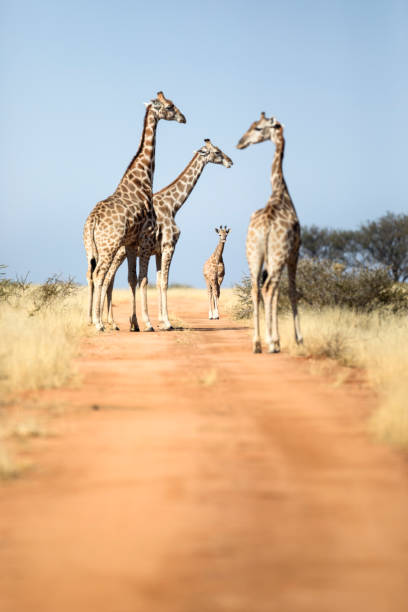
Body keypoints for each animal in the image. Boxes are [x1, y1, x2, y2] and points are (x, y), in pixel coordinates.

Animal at [83, 91, 186, 330]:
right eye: (170, 106)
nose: (183, 118)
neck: (143, 180)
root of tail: (92, 221)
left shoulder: (131, 243)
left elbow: (132, 279)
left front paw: (136, 323)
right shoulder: (146, 238)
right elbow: (144, 279)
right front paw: (148, 323)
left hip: (94, 248)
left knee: (94, 274)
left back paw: (96, 320)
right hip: (109, 246)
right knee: (100, 275)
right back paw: (99, 323)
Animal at [103, 139, 233, 332]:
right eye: (217, 152)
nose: (230, 162)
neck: (173, 205)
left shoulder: (158, 250)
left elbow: (159, 282)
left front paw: (161, 322)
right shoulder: (169, 246)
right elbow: (164, 282)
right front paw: (167, 323)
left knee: (109, 279)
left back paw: (112, 322)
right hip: (118, 252)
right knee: (107, 279)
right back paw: (110, 322)